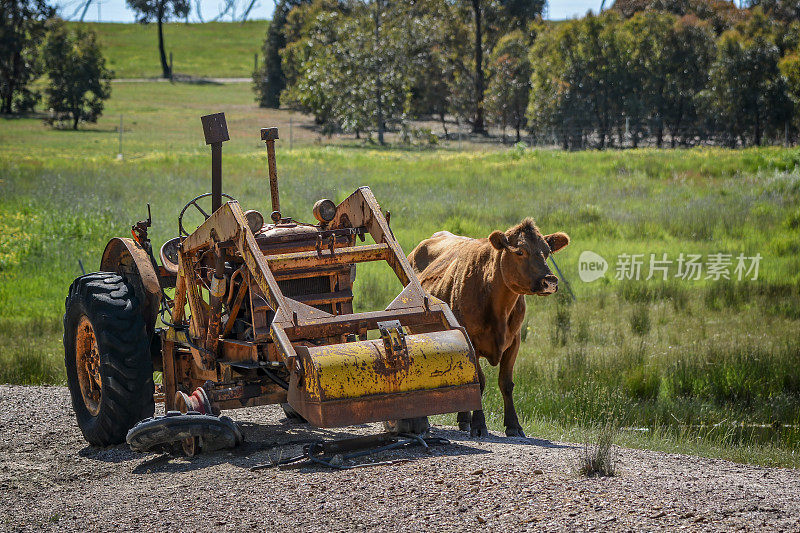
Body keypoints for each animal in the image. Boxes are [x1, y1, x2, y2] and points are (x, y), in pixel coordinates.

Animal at [412, 217, 568, 436]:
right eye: (520, 252)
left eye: (547, 252)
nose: (550, 281)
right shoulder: (471, 341)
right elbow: (480, 381)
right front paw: (479, 425)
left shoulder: (515, 341)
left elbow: (506, 383)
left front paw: (513, 425)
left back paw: (463, 419)